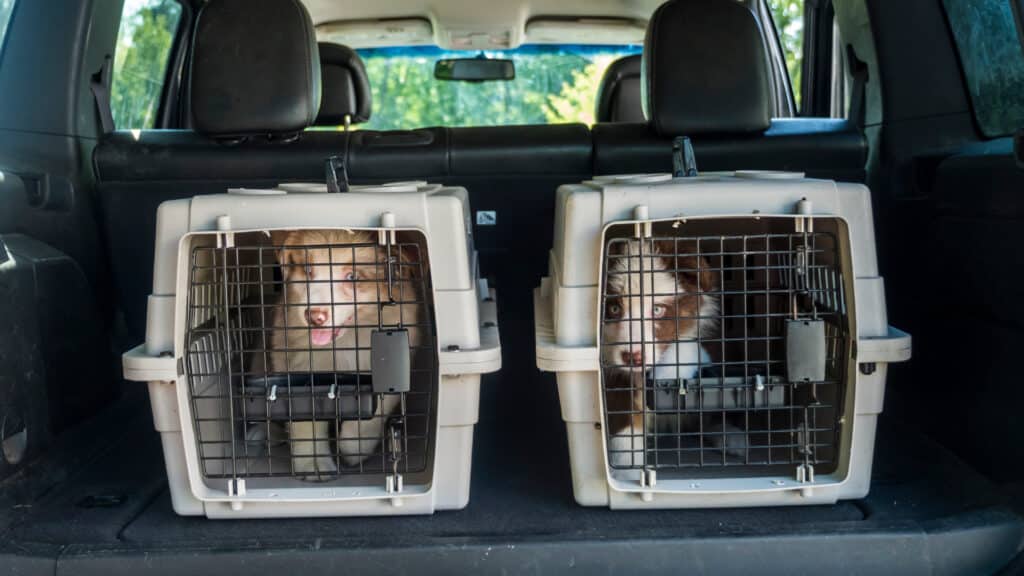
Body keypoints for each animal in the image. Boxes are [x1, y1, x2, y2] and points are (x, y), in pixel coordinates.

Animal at [264, 227, 423, 475]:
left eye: (352, 277)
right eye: (308, 270)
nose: (314, 317)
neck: (345, 342)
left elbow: (374, 412)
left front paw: (353, 449)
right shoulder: (292, 359)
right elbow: (304, 420)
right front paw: (314, 465)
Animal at [598, 237, 745, 467]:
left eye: (657, 310)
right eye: (613, 309)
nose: (633, 357)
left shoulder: (710, 336)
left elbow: (686, 343)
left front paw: (666, 374)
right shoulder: (612, 376)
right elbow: (624, 430)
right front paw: (629, 469)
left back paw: (731, 436)